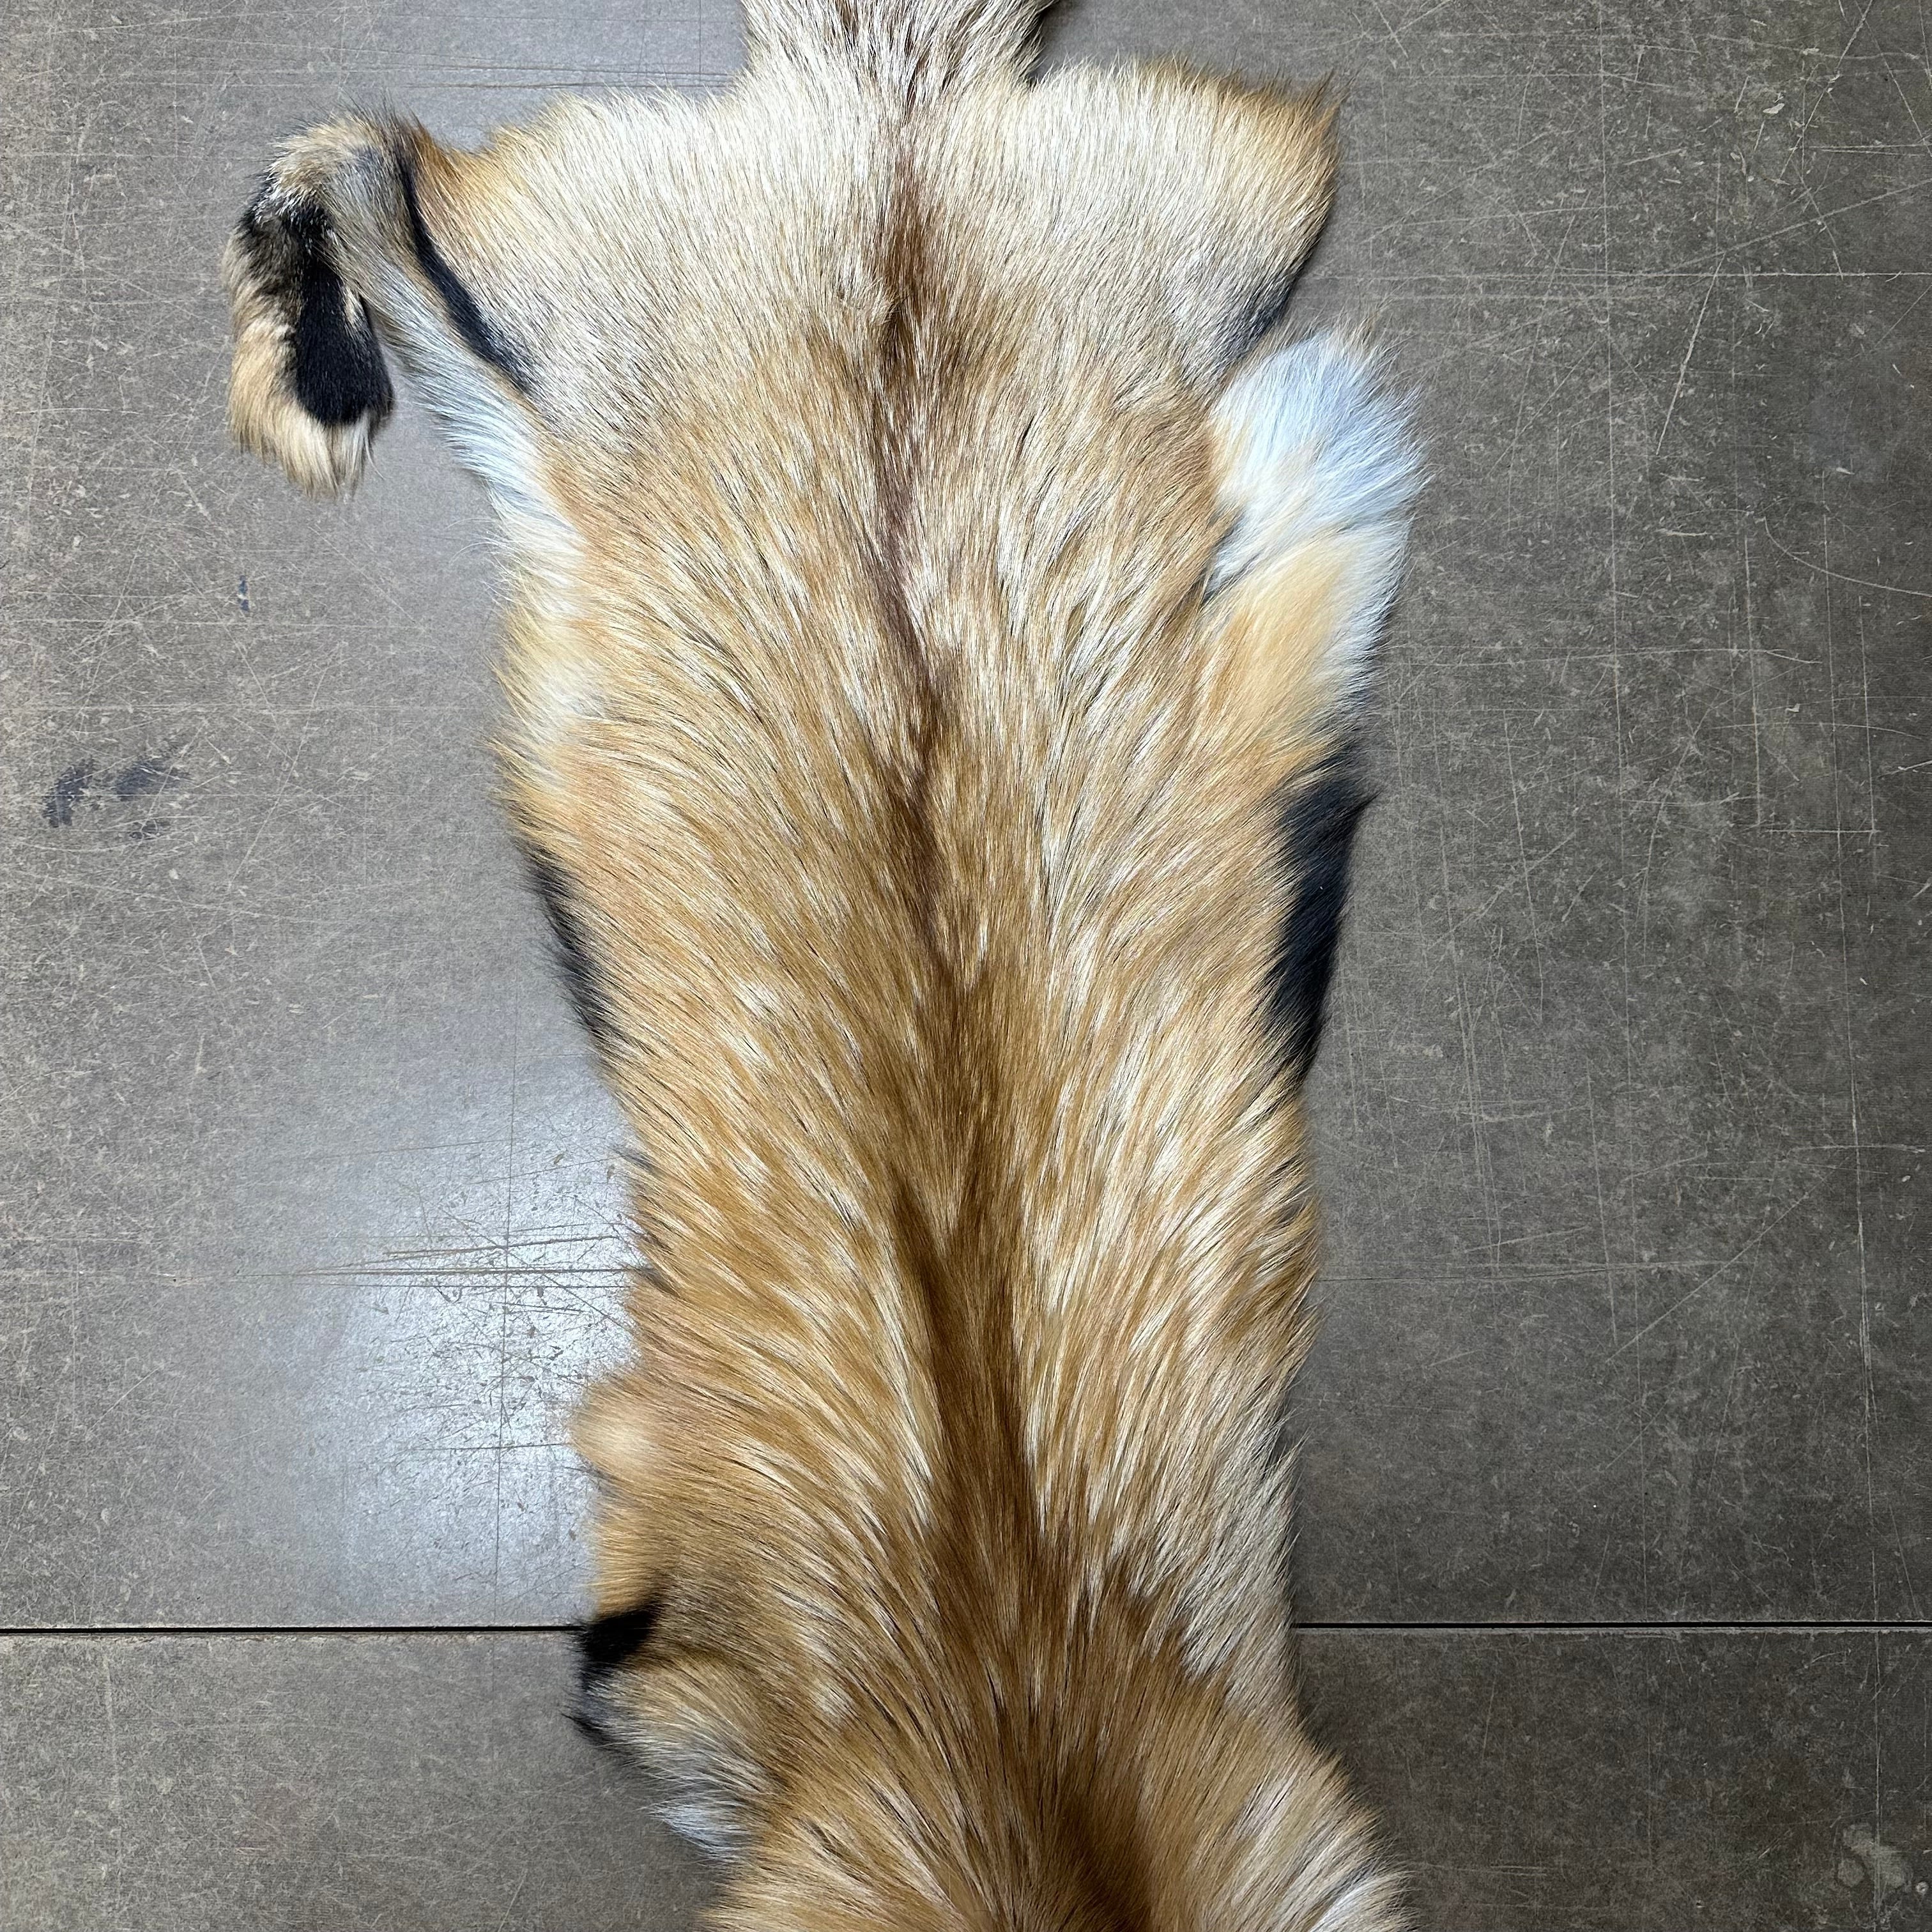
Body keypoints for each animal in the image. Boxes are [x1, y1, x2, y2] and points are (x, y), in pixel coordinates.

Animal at [221, 2, 1422, 1927]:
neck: (1030, 1712)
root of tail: (889, 132)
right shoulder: (669, 1646)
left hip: (1230, 245)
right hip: (523, 301)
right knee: (364, 159)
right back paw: (308, 362)